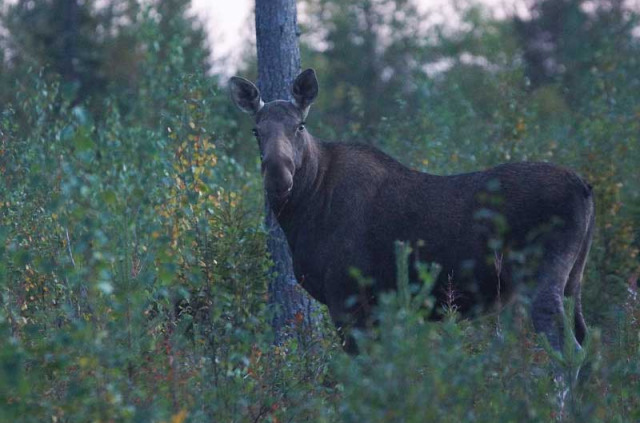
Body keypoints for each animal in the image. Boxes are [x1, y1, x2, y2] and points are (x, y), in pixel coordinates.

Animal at [230, 69, 596, 354]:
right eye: (256, 130)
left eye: (300, 126)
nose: (278, 174)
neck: (305, 210)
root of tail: (585, 188)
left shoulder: (346, 295)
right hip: (574, 278)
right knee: (586, 340)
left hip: (541, 274)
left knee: (569, 349)